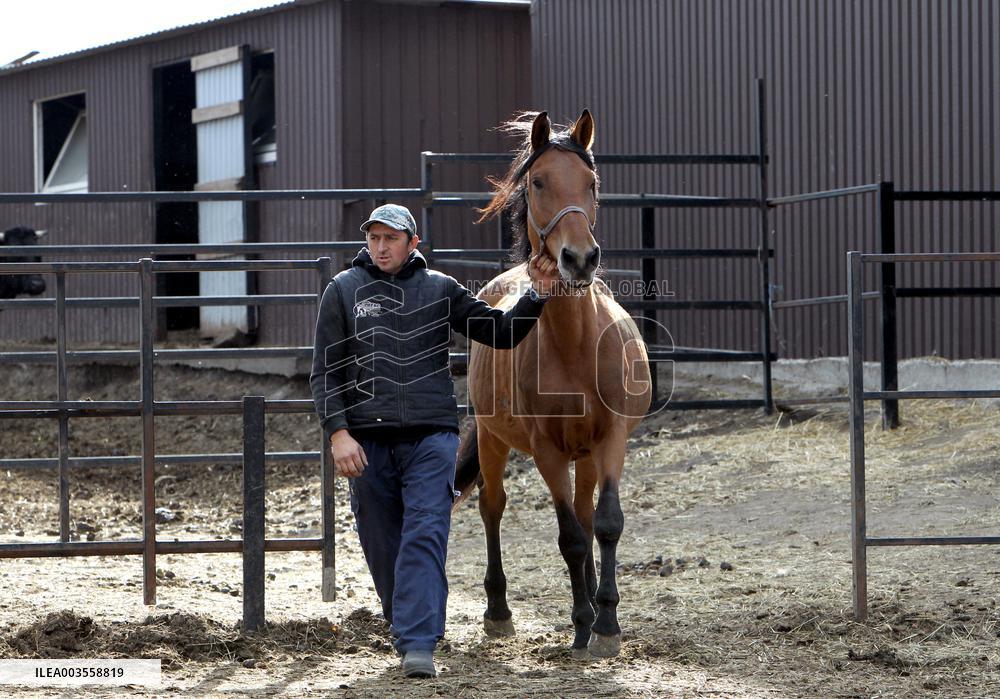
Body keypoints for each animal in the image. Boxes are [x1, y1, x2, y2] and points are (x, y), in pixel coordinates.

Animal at [454, 109, 652, 658]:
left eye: (591, 183)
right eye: (538, 181)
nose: (579, 258)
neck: (577, 345)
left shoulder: (611, 440)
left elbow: (605, 524)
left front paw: (606, 623)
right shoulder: (547, 451)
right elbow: (569, 538)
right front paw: (586, 621)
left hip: (584, 455)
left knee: (586, 516)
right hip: (494, 440)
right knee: (493, 507)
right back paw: (499, 612)